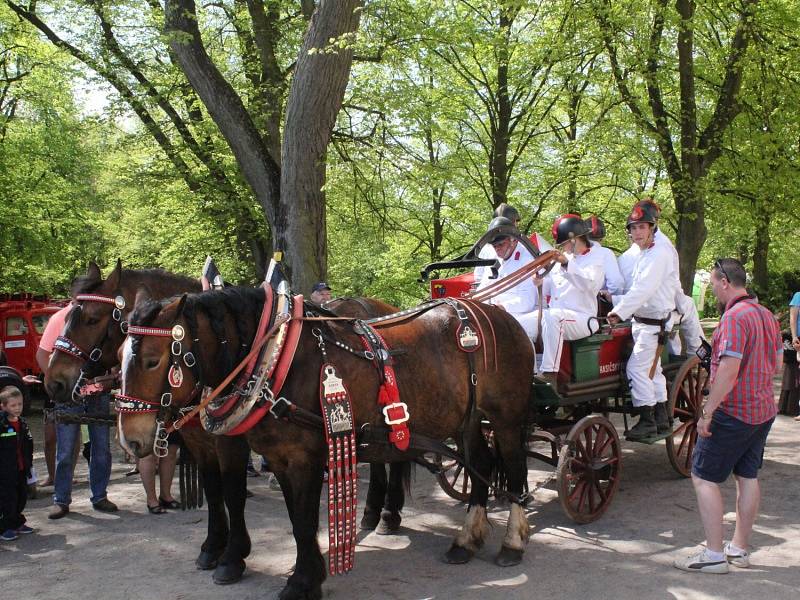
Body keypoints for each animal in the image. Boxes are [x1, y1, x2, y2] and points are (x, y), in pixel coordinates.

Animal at [120, 286, 532, 600]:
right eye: (121, 355)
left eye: (153, 360)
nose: (130, 439)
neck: (278, 359)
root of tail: (496, 314)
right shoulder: (278, 458)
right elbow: (292, 518)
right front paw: (307, 571)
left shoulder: (302, 458)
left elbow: (297, 519)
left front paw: (299, 581)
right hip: (466, 420)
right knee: (479, 463)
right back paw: (465, 541)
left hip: (506, 417)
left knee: (513, 468)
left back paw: (512, 542)